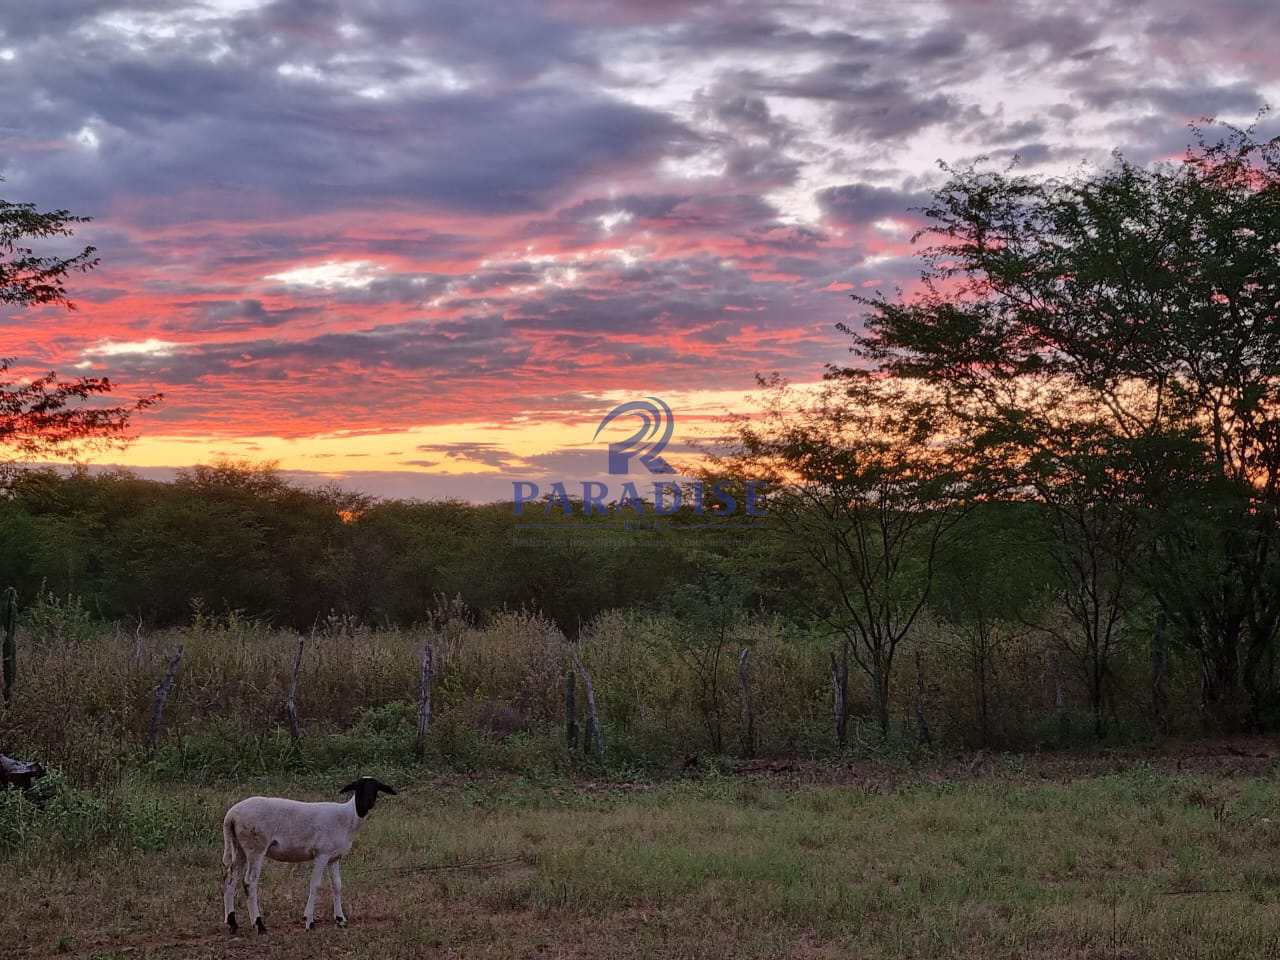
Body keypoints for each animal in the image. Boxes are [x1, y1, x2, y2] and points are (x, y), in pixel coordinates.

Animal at [220, 778, 396, 936]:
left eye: (376, 788)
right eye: (359, 787)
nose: (367, 803)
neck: (348, 817)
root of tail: (231, 816)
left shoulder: (334, 857)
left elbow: (337, 885)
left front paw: (340, 920)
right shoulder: (321, 854)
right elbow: (315, 885)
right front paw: (309, 921)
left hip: (239, 846)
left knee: (230, 878)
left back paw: (232, 923)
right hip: (255, 845)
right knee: (249, 882)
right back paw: (259, 925)